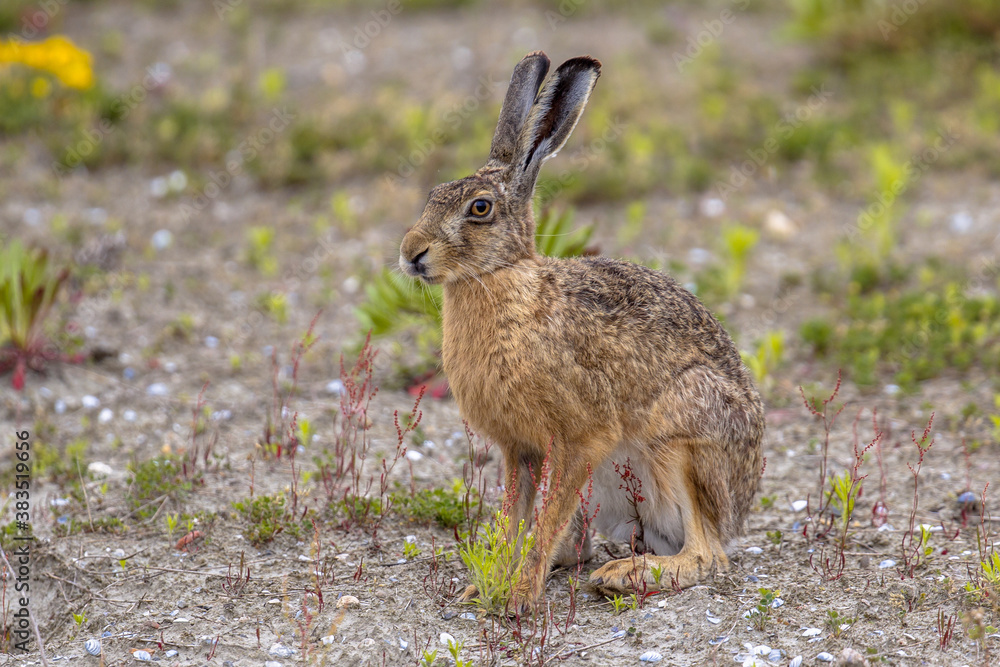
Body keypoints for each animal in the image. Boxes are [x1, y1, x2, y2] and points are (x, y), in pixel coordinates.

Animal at [398, 51, 764, 609]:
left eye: (480, 208)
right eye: (434, 195)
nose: (410, 253)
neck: (504, 278)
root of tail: (738, 509)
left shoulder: (582, 439)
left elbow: (544, 521)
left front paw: (518, 598)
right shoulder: (519, 450)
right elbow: (513, 522)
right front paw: (483, 586)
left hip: (679, 437)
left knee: (707, 555)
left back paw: (624, 576)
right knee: (587, 545)